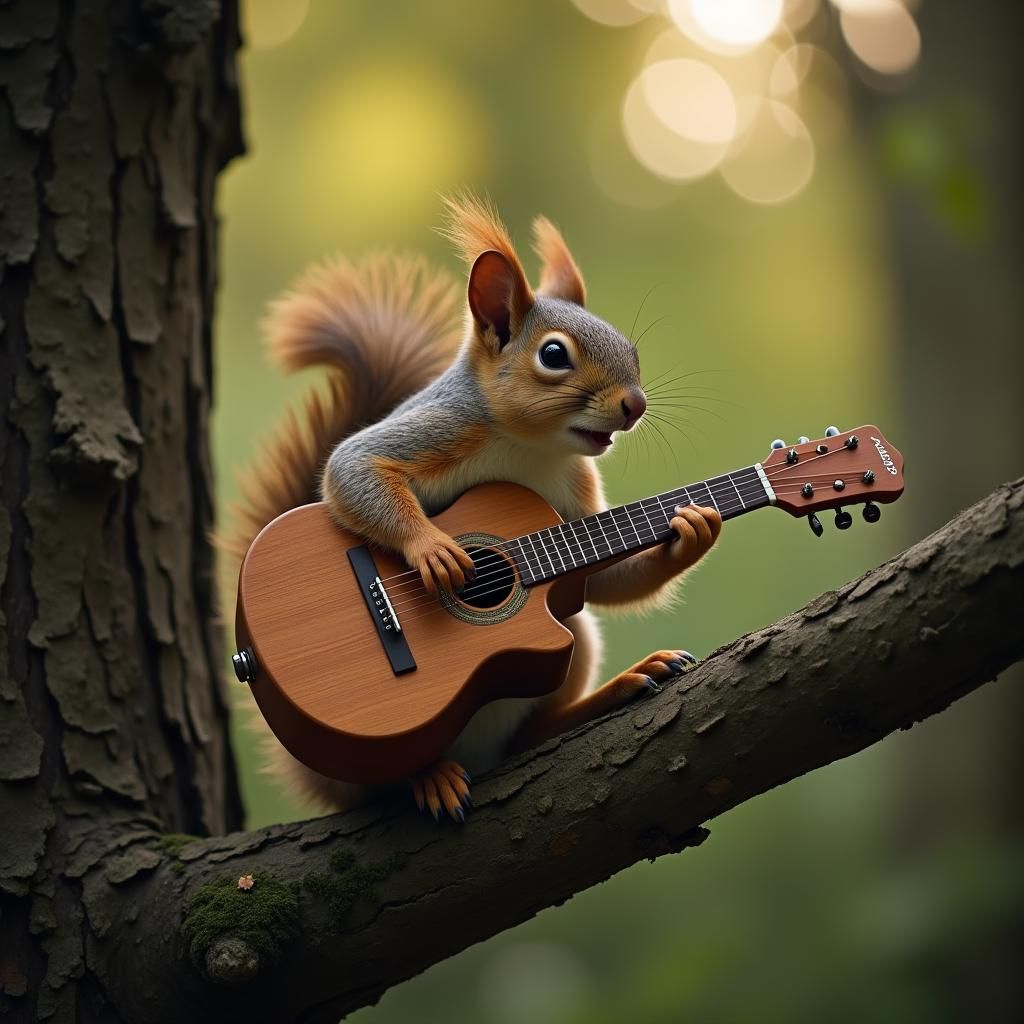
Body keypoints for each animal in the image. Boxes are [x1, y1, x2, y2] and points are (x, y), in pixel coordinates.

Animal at [220, 195, 721, 822]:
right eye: (553, 354)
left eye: (631, 351)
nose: (635, 404)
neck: (530, 446)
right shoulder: (442, 428)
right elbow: (354, 467)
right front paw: (433, 550)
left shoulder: (574, 496)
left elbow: (602, 578)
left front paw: (692, 528)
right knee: (389, 777)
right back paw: (428, 775)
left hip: (571, 643)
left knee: (530, 730)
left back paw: (617, 690)